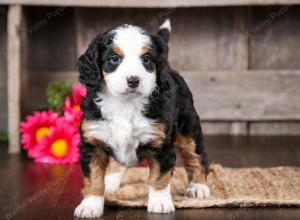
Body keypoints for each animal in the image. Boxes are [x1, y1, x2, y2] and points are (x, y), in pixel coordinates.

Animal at [74, 19, 210, 218]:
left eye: (146, 59)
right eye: (114, 59)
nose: (133, 80)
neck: (125, 104)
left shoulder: (161, 145)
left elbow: (159, 177)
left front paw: (160, 202)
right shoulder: (92, 142)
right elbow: (93, 178)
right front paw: (90, 205)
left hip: (188, 127)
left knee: (196, 156)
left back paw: (198, 186)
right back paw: (111, 181)